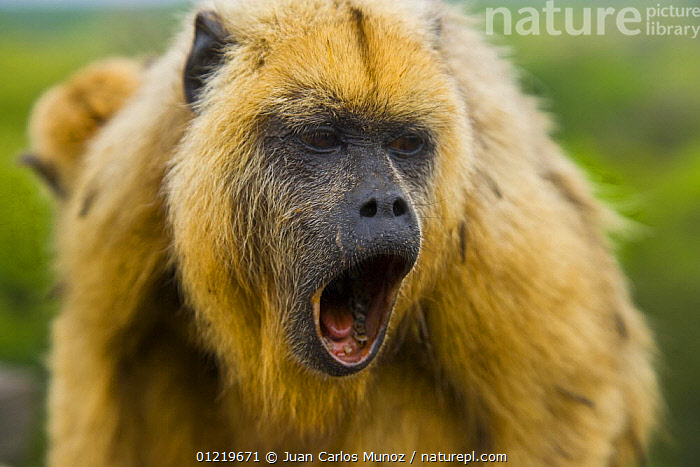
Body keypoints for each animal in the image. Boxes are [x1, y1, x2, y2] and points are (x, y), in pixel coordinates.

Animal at [24, 0, 659, 465]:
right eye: (322, 138)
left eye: (405, 143)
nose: (387, 204)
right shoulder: (120, 199)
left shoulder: (507, 236)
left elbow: (560, 421)